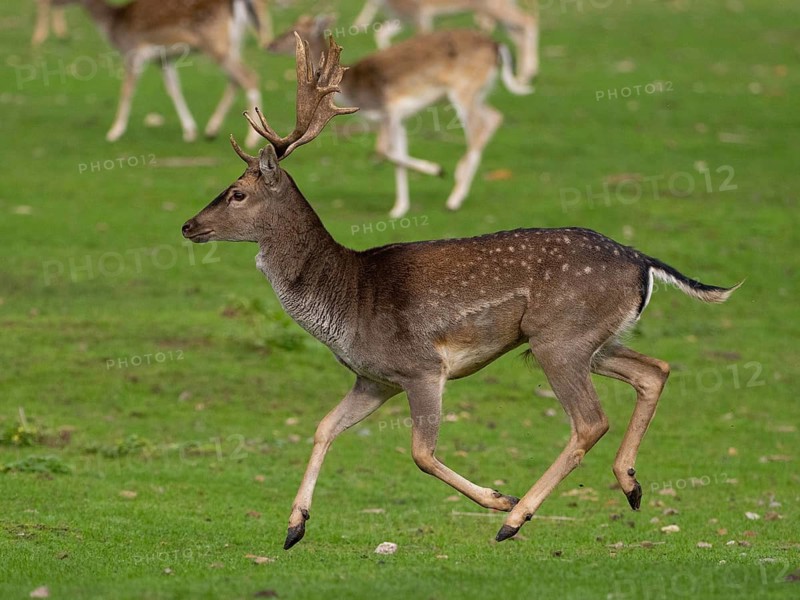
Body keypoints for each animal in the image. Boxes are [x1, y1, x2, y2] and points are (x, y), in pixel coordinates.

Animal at [50, 0, 270, 147]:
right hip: (234, 43)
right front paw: (189, 131)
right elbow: (174, 89)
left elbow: (127, 90)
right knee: (236, 79)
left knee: (249, 77)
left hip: (216, 44)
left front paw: (114, 132)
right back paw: (211, 130)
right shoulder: (163, 59)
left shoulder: (132, 52)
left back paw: (252, 138)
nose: (53, 3)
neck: (114, 25)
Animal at [268, 15, 533, 218]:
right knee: (494, 117)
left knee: (480, 126)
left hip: (464, 90)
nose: (269, 45)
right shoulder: (400, 119)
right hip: (477, 93)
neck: (355, 92)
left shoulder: (390, 111)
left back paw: (455, 197)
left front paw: (437, 170)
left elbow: (384, 151)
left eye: (292, 31)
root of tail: (497, 46)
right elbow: (397, 155)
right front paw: (400, 208)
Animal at [353, 0, 539, 86]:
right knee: (519, 31)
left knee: (527, 20)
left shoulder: (420, 15)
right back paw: (524, 75)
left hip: (493, 7)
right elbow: (380, 34)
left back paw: (526, 75)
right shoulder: (402, 18)